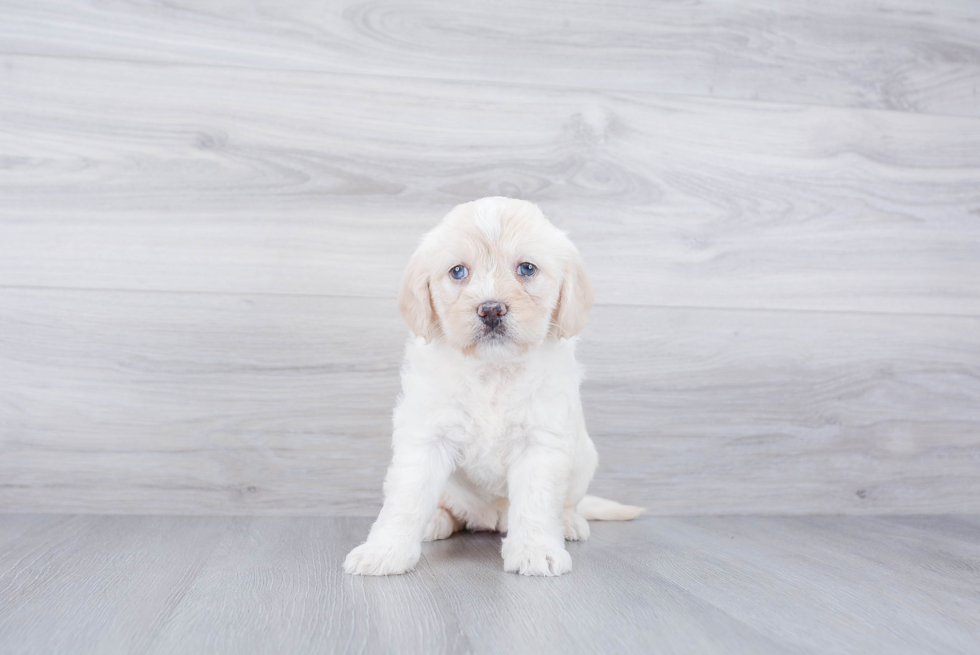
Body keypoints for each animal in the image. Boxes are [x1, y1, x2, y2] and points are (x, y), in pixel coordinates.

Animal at [344, 197, 644, 576]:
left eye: (527, 268)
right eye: (458, 271)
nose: (490, 309)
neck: (493, 370)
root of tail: (491, 518)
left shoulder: (541, 441)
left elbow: (536, 501)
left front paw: (536, 550)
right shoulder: (426, 435)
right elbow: (406, 498)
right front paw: (384, 550)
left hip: (584, 461)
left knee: (567, 504)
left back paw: (569, 522)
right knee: (450, 510)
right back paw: (435, 521)